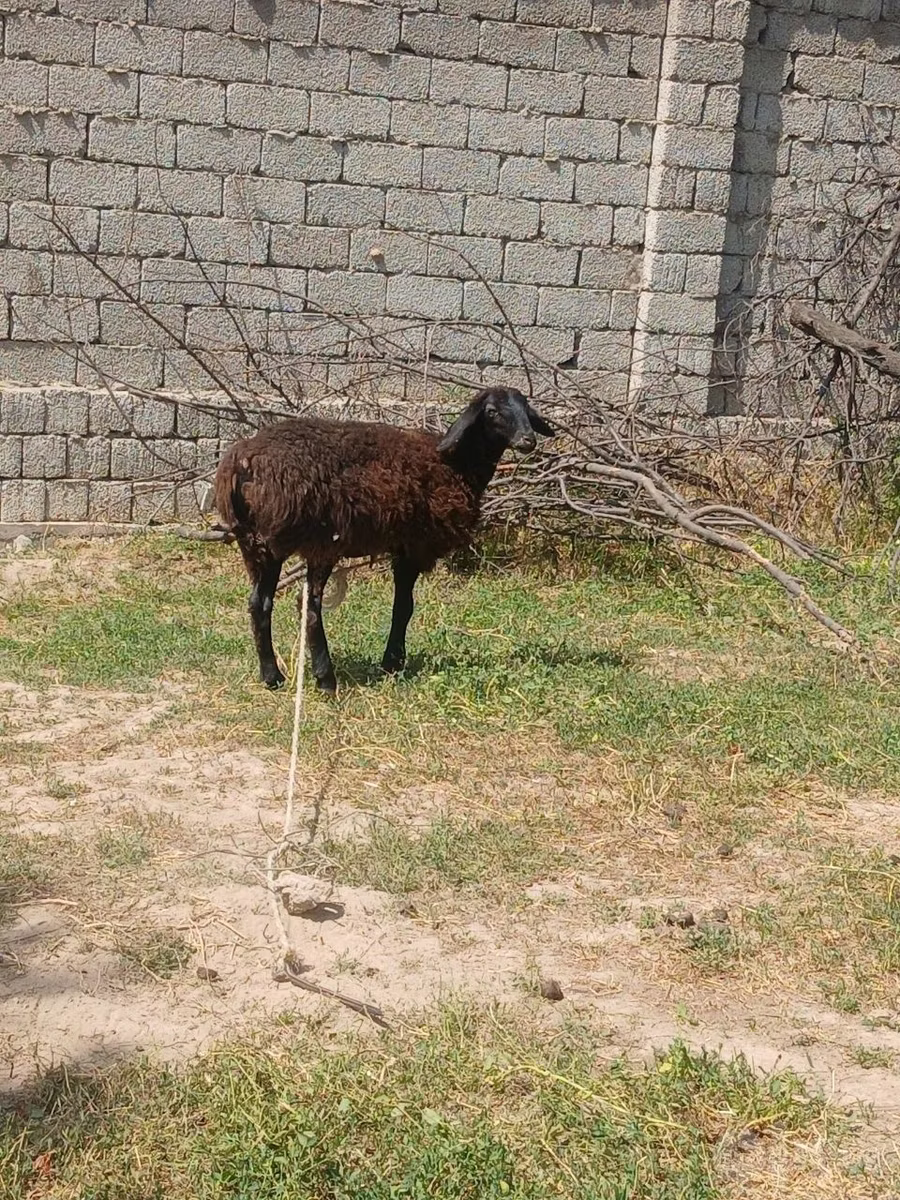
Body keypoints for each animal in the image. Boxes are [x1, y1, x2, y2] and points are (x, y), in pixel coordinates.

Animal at [213, 386, 554, 694]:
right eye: (492, 412)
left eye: (526, 409)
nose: (528, 440)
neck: (456, 465)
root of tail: (241, 463)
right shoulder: (414, 545)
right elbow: (404, 606)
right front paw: (393, 662)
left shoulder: (402, 546)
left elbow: (400, 605)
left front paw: (393, 660)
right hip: (320, 542)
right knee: (310, 608)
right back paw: (326, 680)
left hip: (257, 543)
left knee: (260, 604)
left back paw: (272, 677)